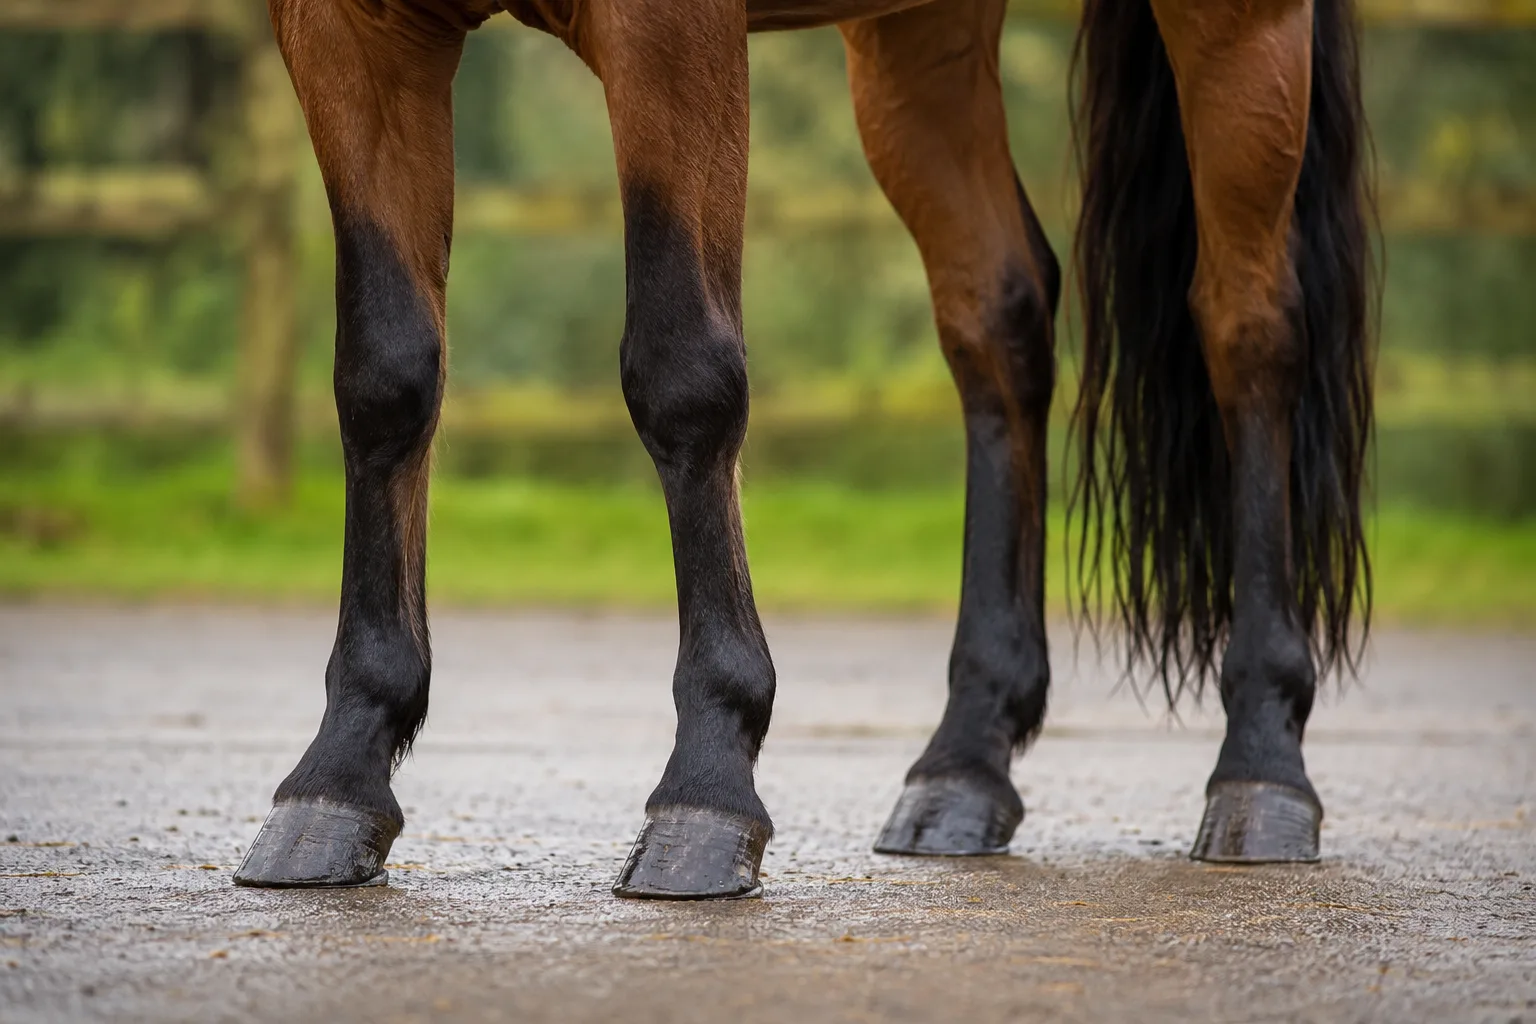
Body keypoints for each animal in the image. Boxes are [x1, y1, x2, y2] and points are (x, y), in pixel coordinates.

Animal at [233, 0, 1373, 899]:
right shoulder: (349, 29)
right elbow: (384, 377)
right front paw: (338, 771)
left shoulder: (670, 25)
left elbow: (684, 374)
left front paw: (706, 787)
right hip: (918, 39)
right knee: (999, 317)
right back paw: (965, 763)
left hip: (1239, 27)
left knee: (1247, 327)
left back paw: (1262, 765)